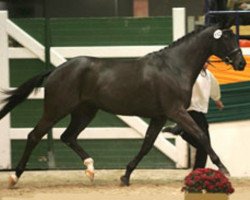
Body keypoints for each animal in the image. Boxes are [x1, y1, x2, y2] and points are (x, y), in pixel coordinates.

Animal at [0, 23, 246, 188]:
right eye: (226, 39)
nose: (241, 63)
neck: (174, 67)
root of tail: (55, 70)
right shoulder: (175, 111)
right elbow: (201, 135)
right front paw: (224, 169)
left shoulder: (160, 116)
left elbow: (147, 145)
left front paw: (125, 176)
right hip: (56, 110)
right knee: (34, 135)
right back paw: (14, 177)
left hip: (85, 112)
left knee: (67, 136)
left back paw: (91, 170)